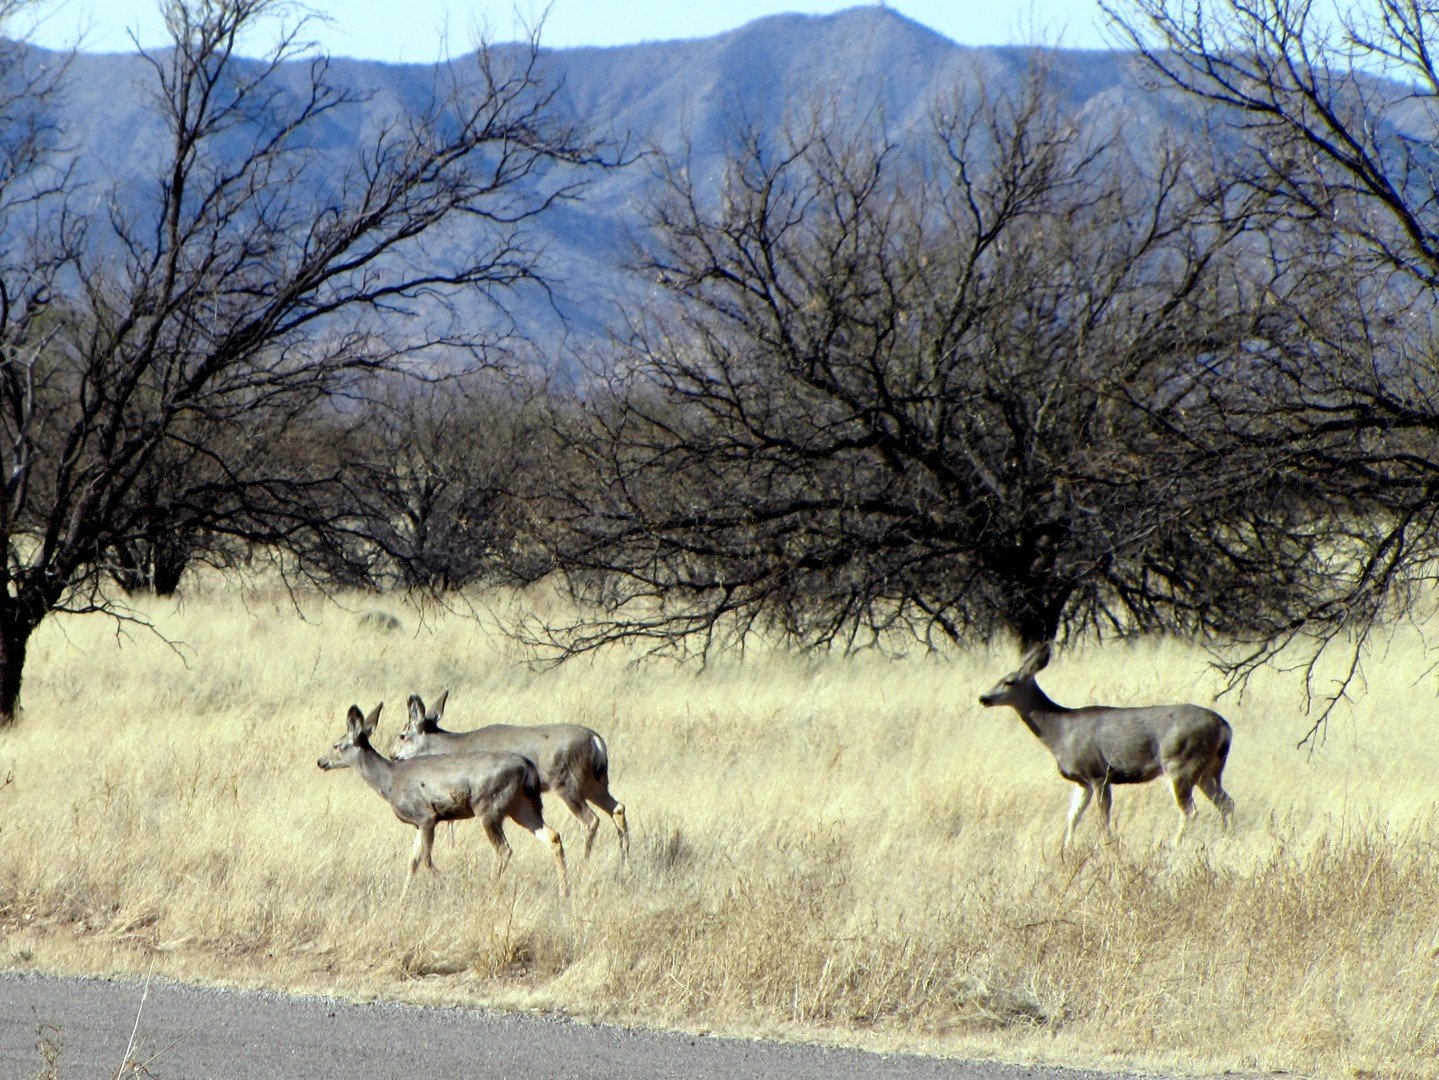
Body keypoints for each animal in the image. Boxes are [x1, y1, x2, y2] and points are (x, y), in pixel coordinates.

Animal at [315, 701, 566, 897]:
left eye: (337, 745)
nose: (320, 761)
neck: (389, 780)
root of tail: (526, 766)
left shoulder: (426, 816)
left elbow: (426, 860)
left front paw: (446, 883)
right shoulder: (418, 823)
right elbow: (412, 861)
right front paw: (402, 898)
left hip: (489, 807)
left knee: (504, 849)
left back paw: (491, 886)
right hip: (522, 806)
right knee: (553, 836)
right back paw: (565, 890)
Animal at [391, 693, 627, 862]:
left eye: (402, 735)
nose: (392, 755)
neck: (453, 746)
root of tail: (596, 741)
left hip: (567, 783)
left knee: (590, 820)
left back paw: (584, 861)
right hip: (595, 783)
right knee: (618, 808)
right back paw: (623, 863)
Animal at [978, 641, 1237, 845]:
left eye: (1009, 681)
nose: (983, 698)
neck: (1060, 732)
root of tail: (1225, 727)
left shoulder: (1098, 773)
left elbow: (1103, 818)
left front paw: (1107, 845)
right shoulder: (1082, 781)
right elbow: (1073, 817)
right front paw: (1066, 848)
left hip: (1180, 764)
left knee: (1190, 810)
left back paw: (1175, 844)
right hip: (1208, 770)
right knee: (1227, 803)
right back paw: (1227, 837)